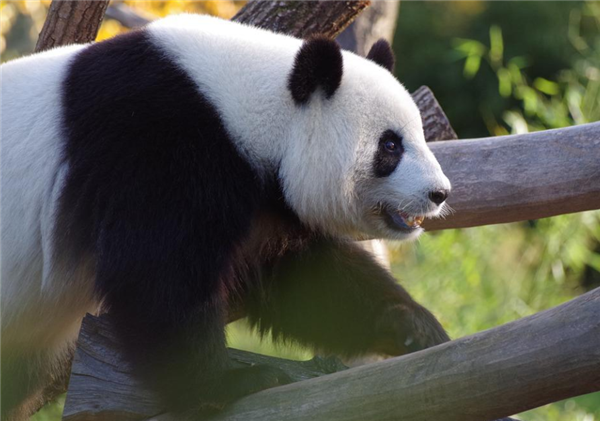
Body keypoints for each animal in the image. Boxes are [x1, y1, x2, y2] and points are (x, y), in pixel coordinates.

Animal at [0, 13, 450, 420]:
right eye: (390, 145)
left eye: (418, 135)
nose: (439, 193)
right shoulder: (156, 145)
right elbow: (157, 275)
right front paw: (229, 383)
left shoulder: (262, 202)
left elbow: (302, 278)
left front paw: (413, 325)